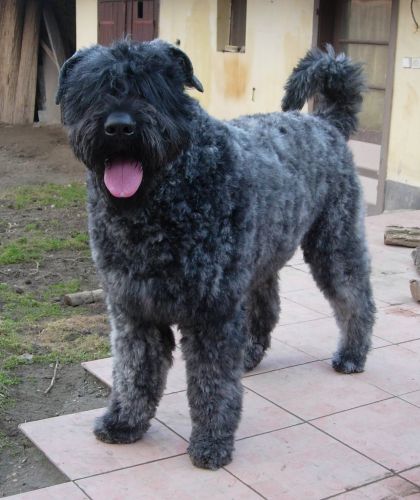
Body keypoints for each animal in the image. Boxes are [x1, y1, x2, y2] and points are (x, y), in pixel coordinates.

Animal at [55, 41, 374, 470]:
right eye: (94, 88)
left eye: (154, 87)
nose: (119, 127)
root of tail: (327, 124)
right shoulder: (133, 308)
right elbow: (133, 370)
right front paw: (124, 422)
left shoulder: (212, 311)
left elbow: (211, 383)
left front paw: (211, 442)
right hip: (259, 262)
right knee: (267, 308)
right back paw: (251, 355)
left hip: (334, 243)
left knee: (354, 299)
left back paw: (352, 355)